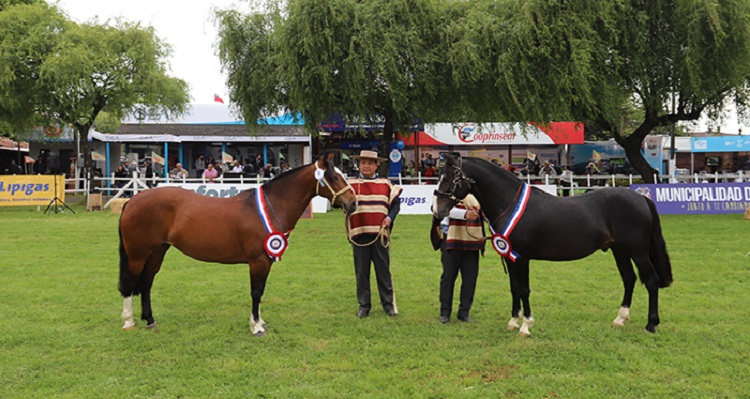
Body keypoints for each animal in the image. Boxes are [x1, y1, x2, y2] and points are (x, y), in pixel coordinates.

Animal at [118, 152, 358, 334]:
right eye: (334, 177)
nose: (353, 203)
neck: (270, 207)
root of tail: (132, 200)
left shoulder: (266, 261)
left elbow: (260, 291)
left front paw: (260, 322)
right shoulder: (258, 261)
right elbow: (256, 292)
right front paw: (256, 327)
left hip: (157, 251)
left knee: (147, 282)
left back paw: (150, 320)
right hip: (138, 254)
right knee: (131, 283)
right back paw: (129, 322)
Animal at [434, 155, 676, 336]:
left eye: (450, 177)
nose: (437, 210)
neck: (509, 202)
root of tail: (641, 198)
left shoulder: (522, 258)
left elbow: (524, 289)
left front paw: (526, 326)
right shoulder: (510, 256)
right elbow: (514, 288)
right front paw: (513, 321)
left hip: (638, 251)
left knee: (651, 281)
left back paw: (651, 324)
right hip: (620, 250)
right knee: (629, 279)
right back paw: (620, 319)